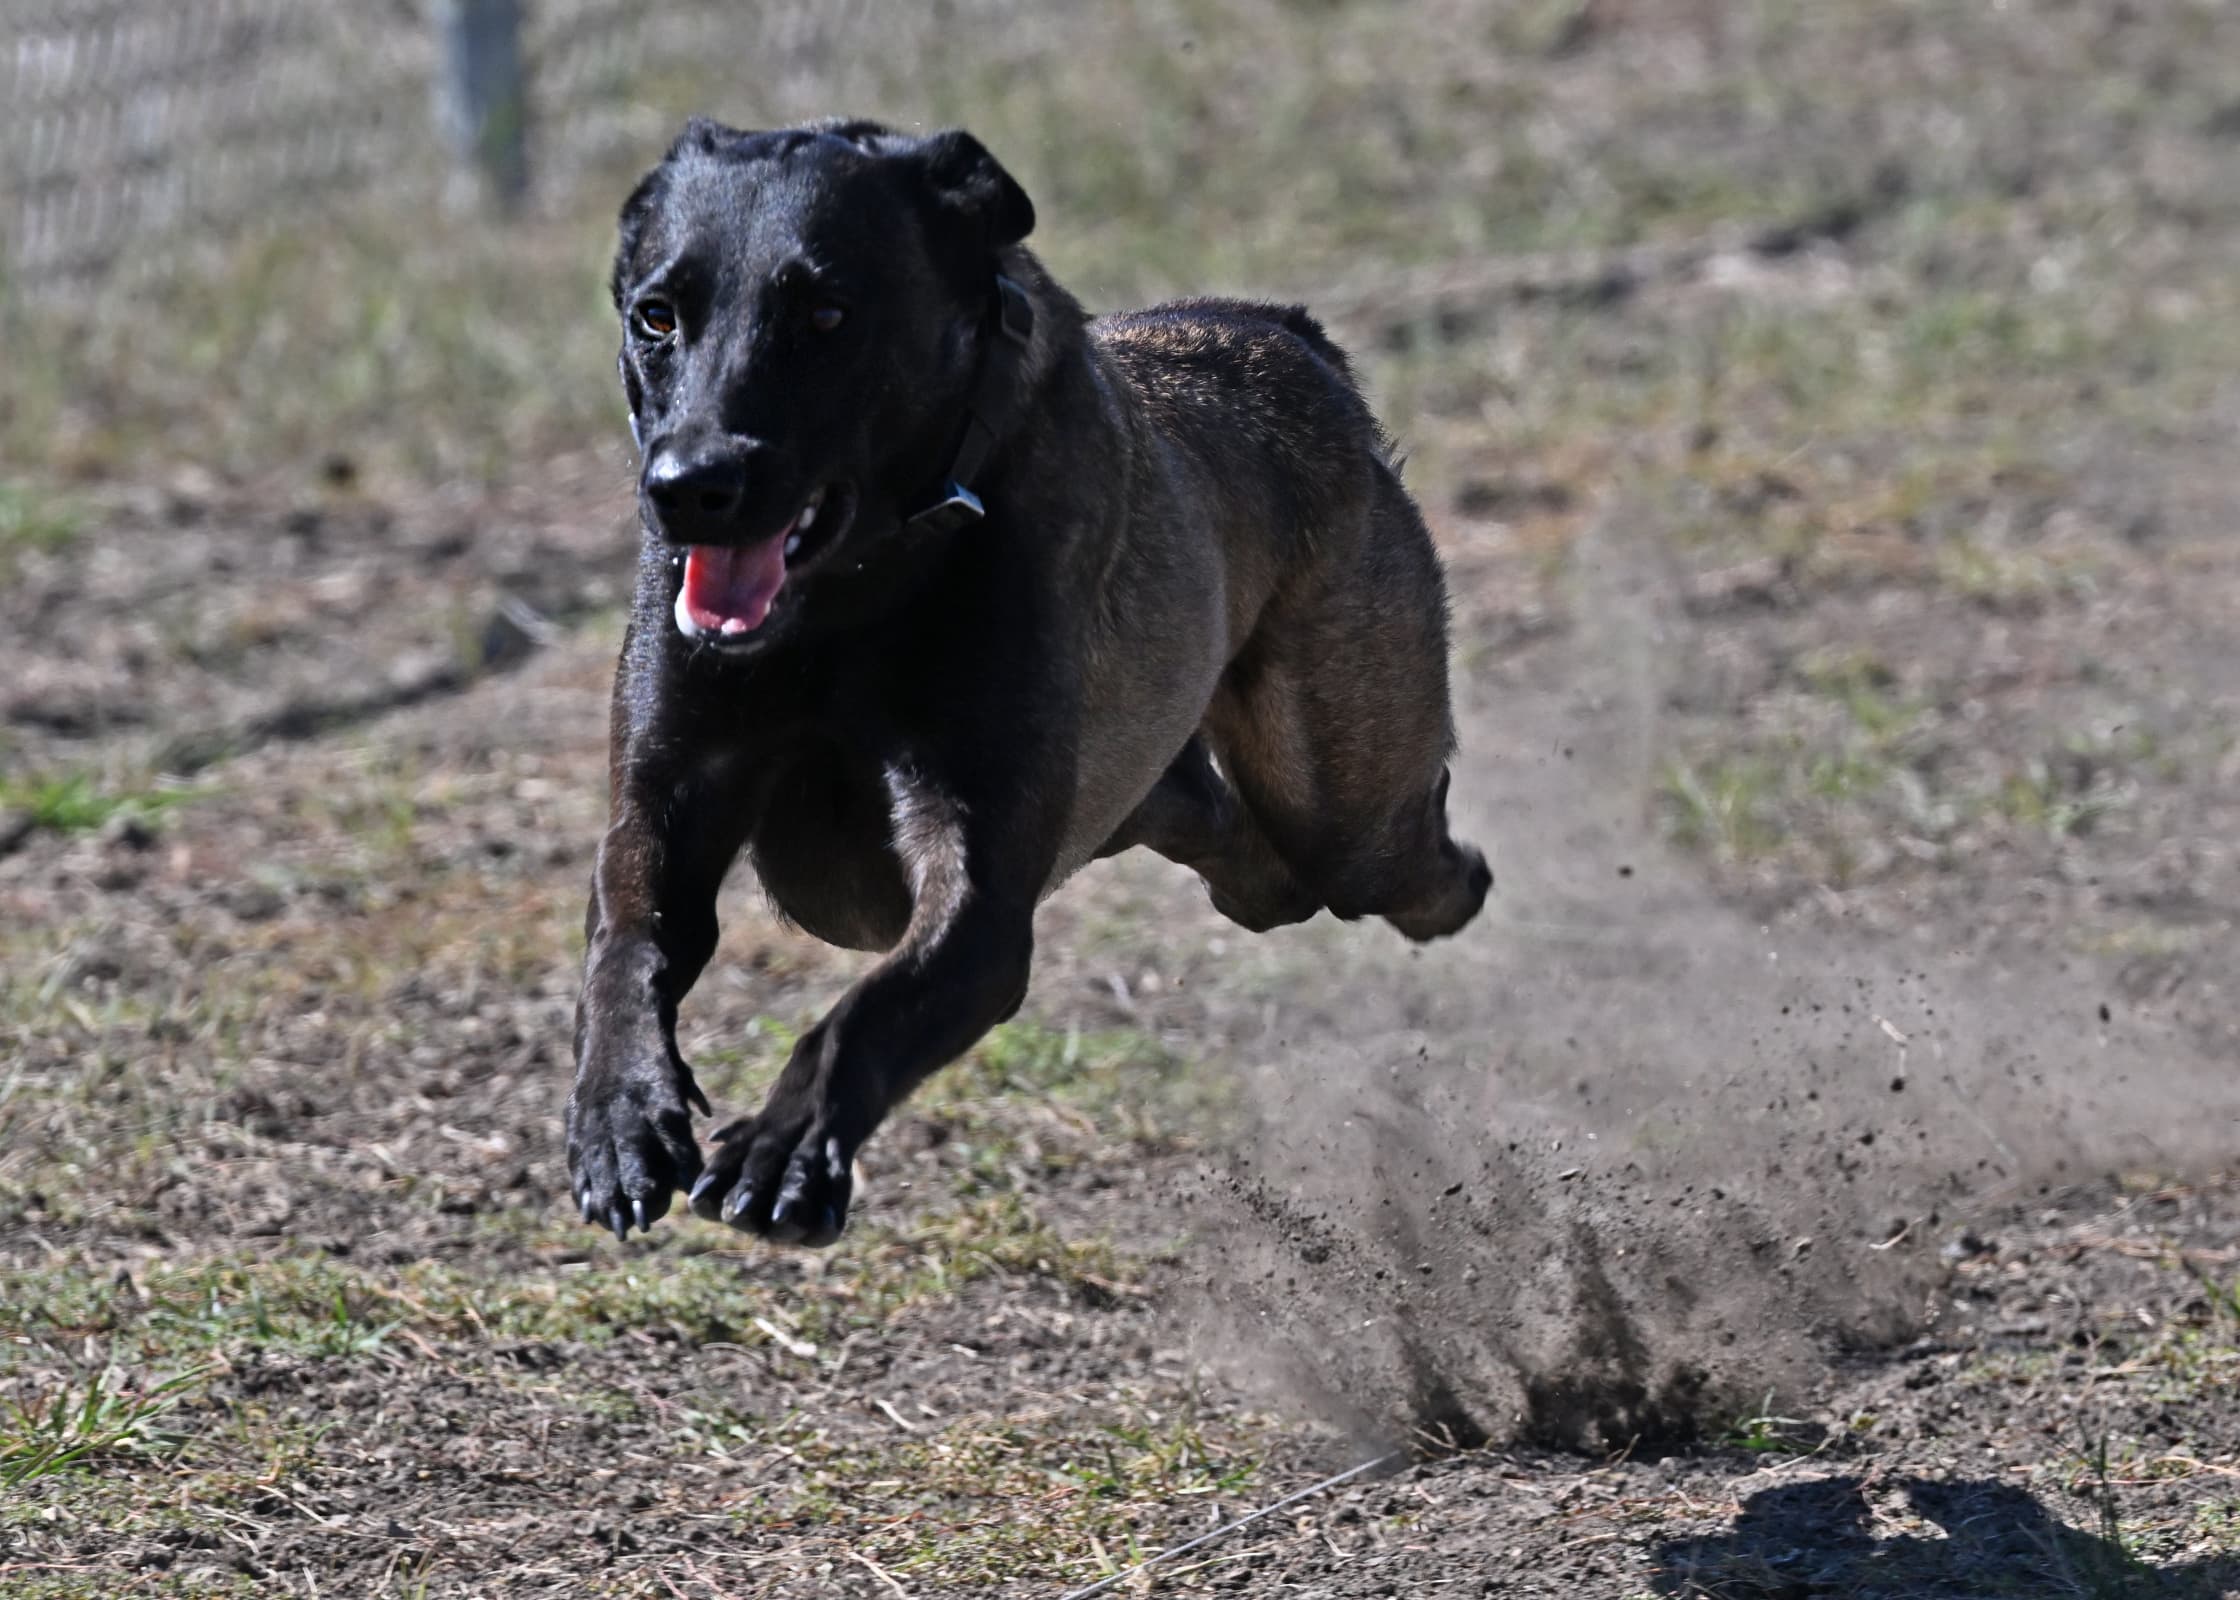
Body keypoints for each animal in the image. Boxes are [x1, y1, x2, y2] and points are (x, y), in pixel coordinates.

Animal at [568, 121, 1496, 1245]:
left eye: (826, 314)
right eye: (656, 315)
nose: (688, 486)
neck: (852, 594)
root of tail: (1286, 338)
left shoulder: (979, 894)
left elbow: (869, 1008)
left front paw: (784, 1147)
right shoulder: (664, 798)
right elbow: (629, 941)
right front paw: (619, 1118)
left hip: (1345, 797)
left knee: (1382, 858)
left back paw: (1463, 878)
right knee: (1243, 858)